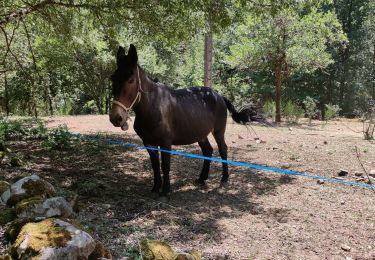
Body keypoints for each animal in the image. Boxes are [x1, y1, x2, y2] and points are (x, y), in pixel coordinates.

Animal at [110, 44, 254, 198]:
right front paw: (156, 187)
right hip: (200, 134)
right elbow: (155, 166)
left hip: (218, 131)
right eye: (113, 78)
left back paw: (224, 179)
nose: (116, 118)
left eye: (131, 79)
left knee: (223, 150)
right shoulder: (149, 143)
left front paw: (165, 190)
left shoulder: (165, 143)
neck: (153, 106)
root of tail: (218, 95)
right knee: (208, 151)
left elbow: (165, 165)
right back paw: (202, 179)